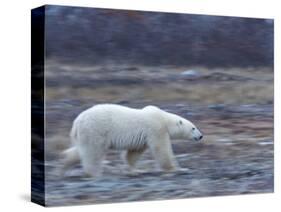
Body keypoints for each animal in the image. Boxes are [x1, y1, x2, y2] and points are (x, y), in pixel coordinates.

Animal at [60, 104, 202, 177]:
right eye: (193, 128)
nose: (201, 136)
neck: (164, 119)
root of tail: (77, 122)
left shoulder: (143, 138)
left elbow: (133, 153)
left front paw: (137, 170)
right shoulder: (156, 129)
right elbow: (162, 150)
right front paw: (178, 169)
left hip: (85, 134)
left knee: (80, 150)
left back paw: (64, 164)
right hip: (95, 130)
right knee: (93, 151)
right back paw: (94, 173)